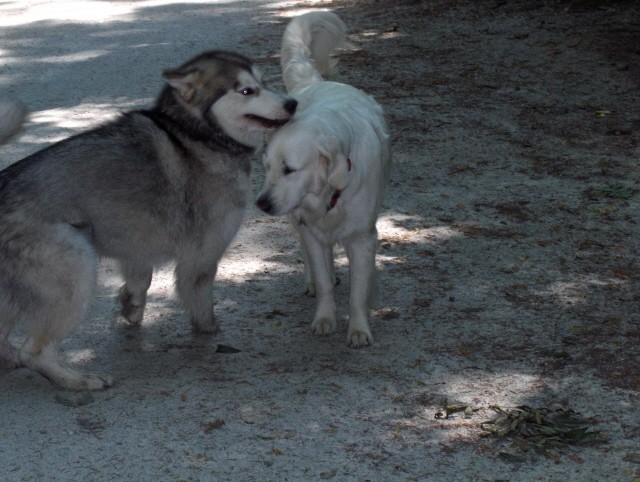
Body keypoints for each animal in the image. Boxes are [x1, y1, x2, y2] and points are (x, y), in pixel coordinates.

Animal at [255, 11, 390, 346]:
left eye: (289, 169)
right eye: (267, 167)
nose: (261, 204)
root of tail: (317, 84)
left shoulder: (363, 236)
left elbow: (358, 291)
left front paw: (359, 329)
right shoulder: (312, 231)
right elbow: (323, 277)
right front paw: (325, 318)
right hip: (296, 220)